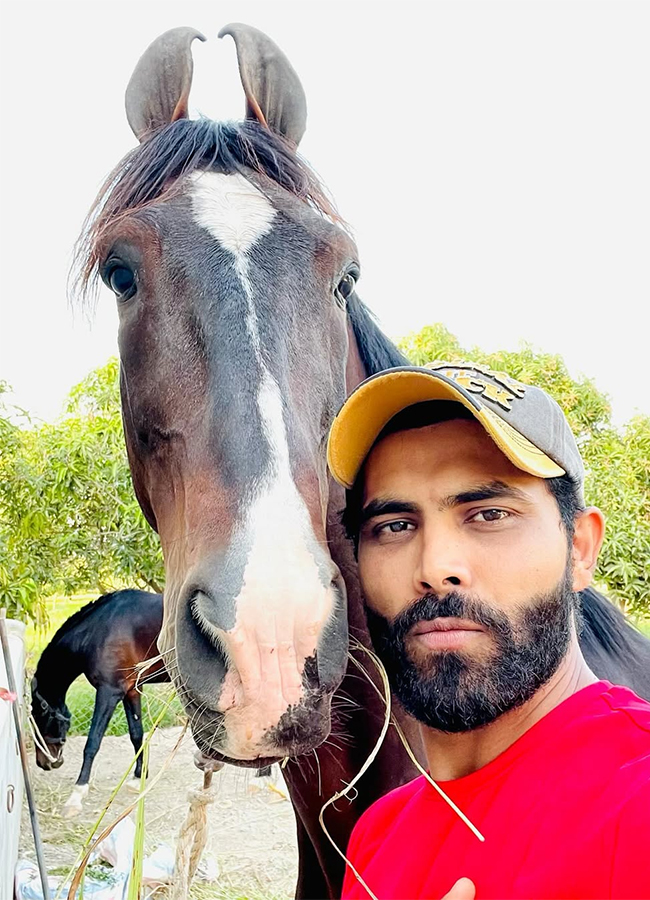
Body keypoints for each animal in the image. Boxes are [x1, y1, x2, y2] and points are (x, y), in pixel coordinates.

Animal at [32, 592, 167, 816]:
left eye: (38, 718)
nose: (43, 763)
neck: (98, 629)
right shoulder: (131, 690)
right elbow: (136, 735)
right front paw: (138, 777)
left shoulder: (108, 692)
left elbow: (92, 742)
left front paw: (77, 794)